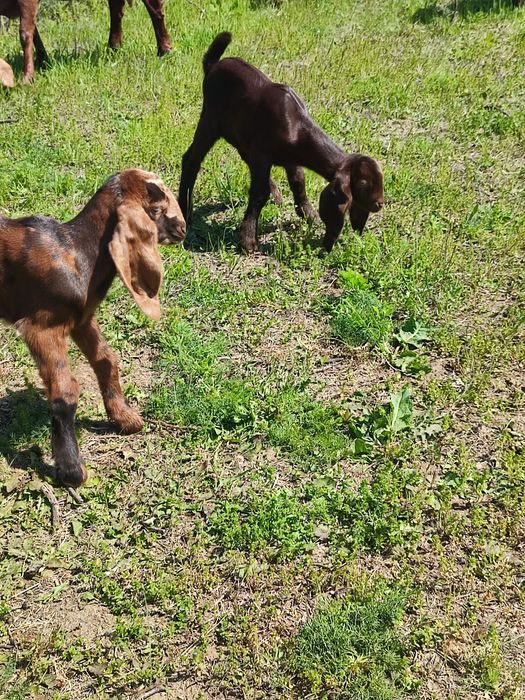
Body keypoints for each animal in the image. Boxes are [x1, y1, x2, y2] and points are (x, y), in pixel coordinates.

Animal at [0, 0, 170, 83]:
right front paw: (43, 60)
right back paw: (113, 48)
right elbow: (34, 31)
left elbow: (25, 33)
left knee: (154, 7)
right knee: (116, 8)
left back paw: (164, 50)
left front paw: (27, 77)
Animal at [0, 169, 185, 486]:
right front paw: (71, 470)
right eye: (157, 205)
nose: (183, 229)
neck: (76, 252)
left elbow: (106, 360)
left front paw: (125, 418)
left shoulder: (81, 319)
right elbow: (64, 390)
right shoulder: (41, 326)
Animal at [179, 32, 384, 253]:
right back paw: (184, 211)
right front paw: (248, 239)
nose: (380, 203)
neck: (297, 126)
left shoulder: (288, 157)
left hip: (240, 132)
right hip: (210, 120)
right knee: (191, 159)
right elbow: (259, 193)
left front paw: (309, 214)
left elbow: (298, 181)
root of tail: (212, 65)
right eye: (363, 184)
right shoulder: (261, 154)